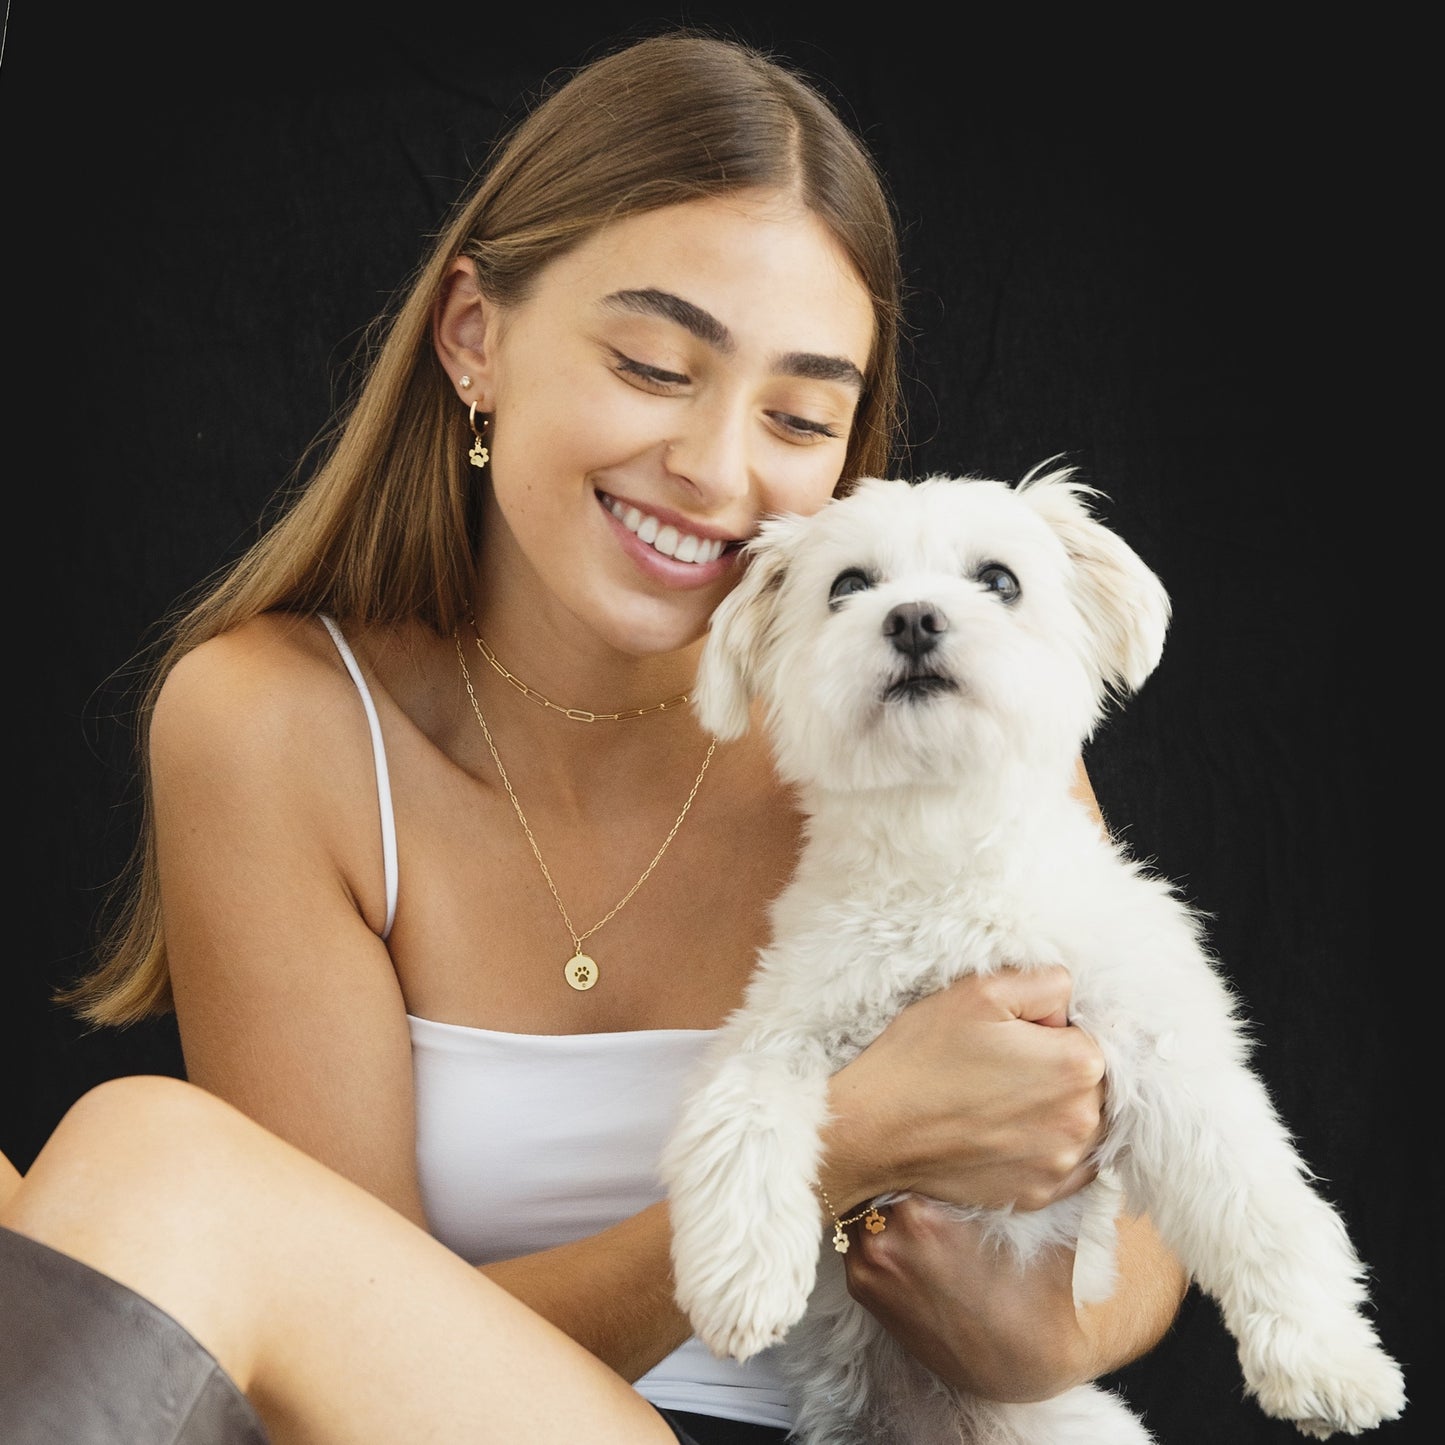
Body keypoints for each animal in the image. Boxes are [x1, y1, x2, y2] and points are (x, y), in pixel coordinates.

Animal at [661, 468, 1404, 1439]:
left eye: (999, 580)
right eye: (848, 585)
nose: (912, 618)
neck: (942, 853)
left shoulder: (1155, 1043)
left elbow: (1256, 1200)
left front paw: (1325, 1359)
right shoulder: (784, 1023)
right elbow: (738, 1112)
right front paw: (739, 1276)